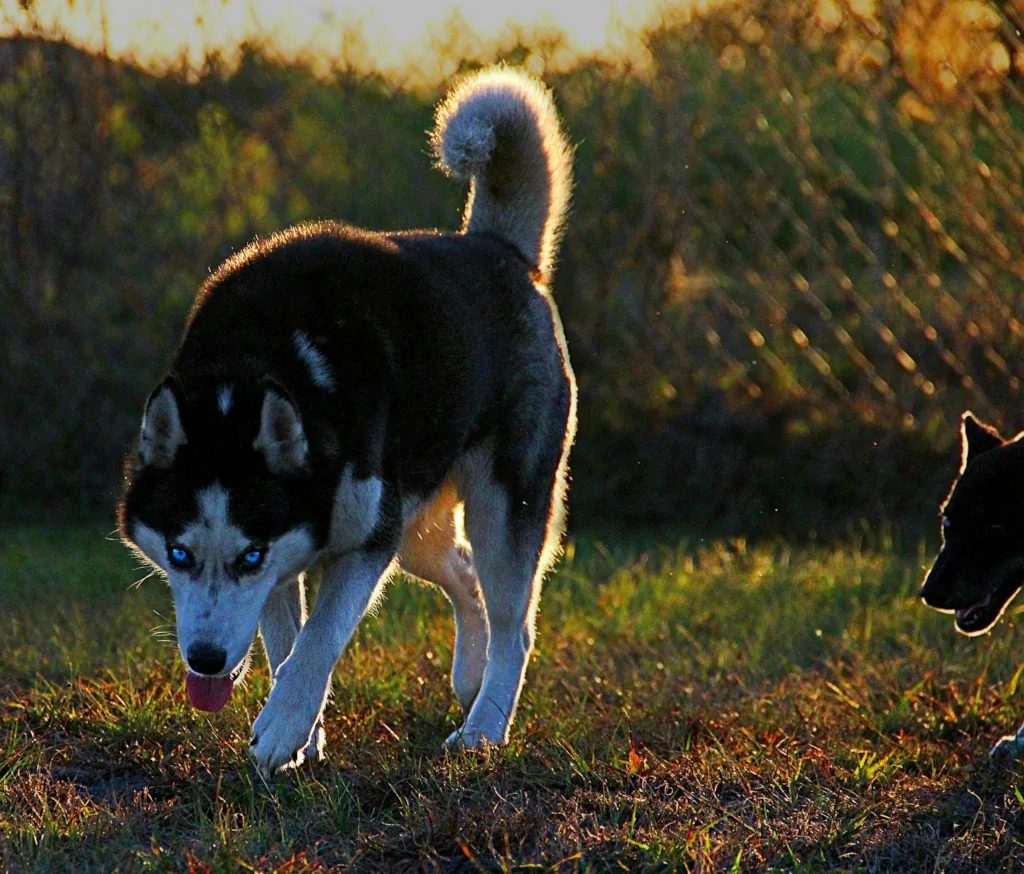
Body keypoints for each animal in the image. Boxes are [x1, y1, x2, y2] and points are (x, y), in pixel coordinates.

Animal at [119, 70, 577, 781]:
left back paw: (484, 728)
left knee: (515, 624)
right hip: (417, 526)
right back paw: (471, 680)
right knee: (465, 574)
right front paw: (303, 739)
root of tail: (496, 248)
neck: (255, 364)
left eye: (248, 556)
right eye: (179, 554)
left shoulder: (358, 545)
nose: (206, 661)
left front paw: (283, 727)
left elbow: (317, 640)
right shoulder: (302, 554)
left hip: (501, 506)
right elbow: (286, 643)